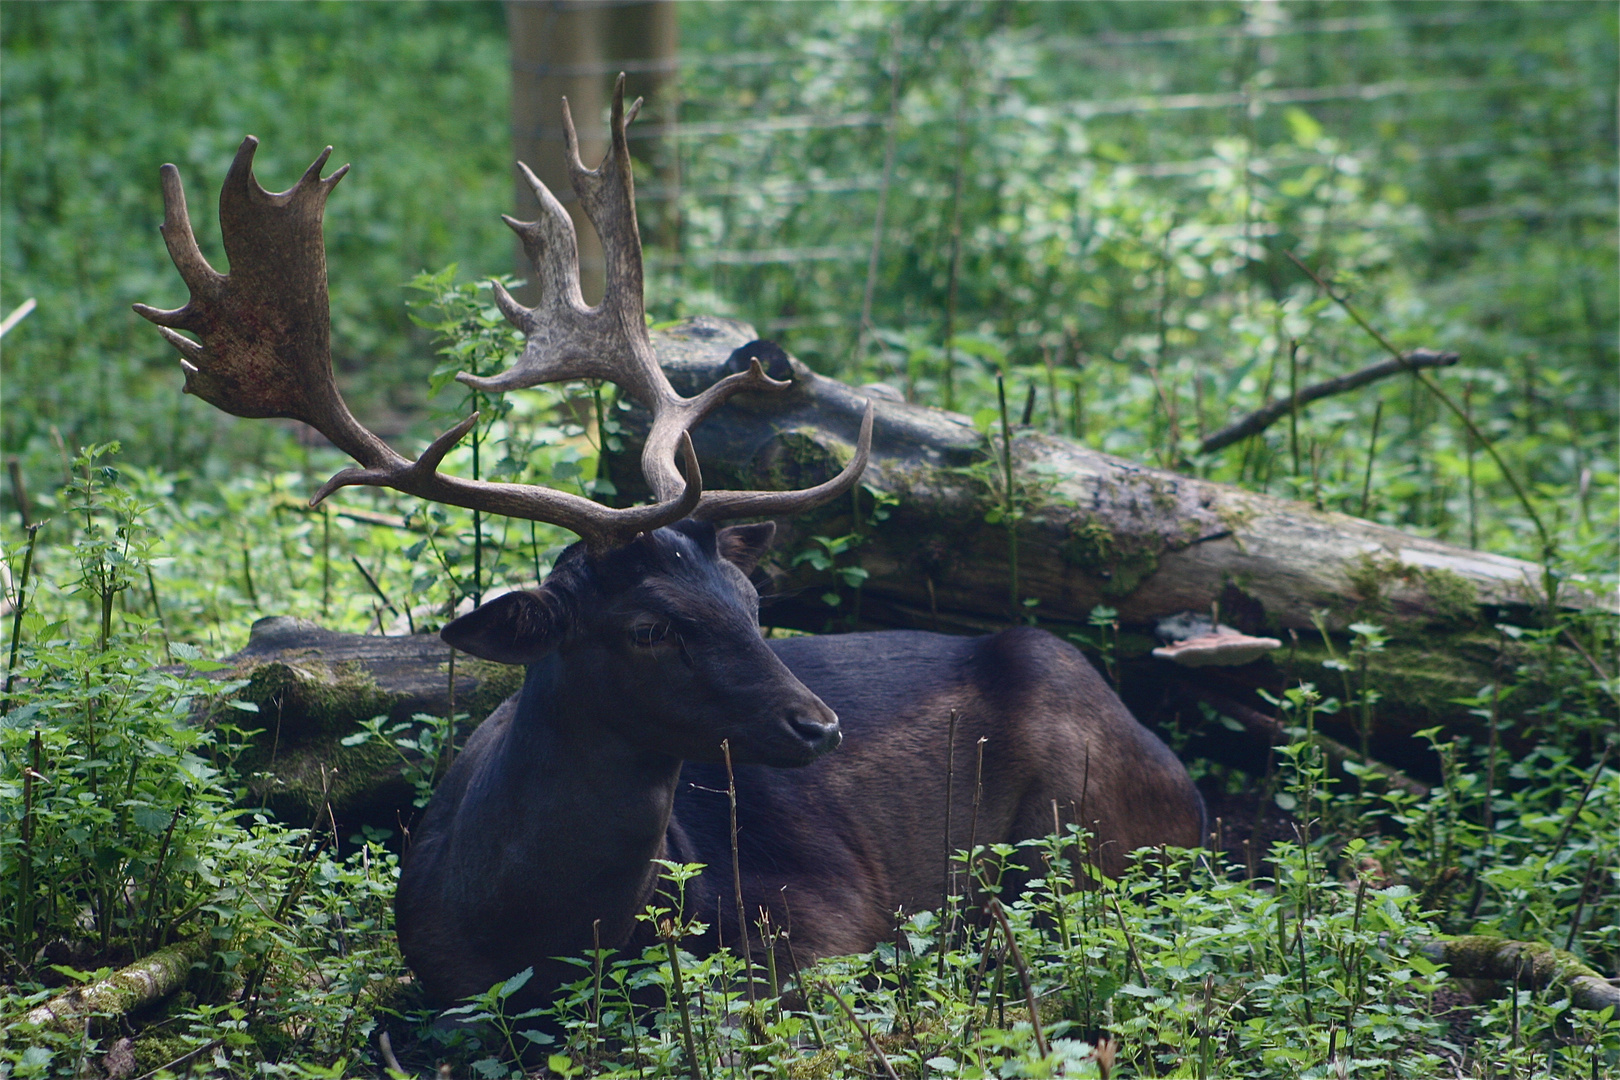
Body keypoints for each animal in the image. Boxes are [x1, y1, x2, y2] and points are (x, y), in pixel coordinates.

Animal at [139, 76, 1205, 1016]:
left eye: (753, 603)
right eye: (649, 626)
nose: (819, 726)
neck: (528, 935)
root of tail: (1185, 782)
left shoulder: (826, 923)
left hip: (1086, 827)